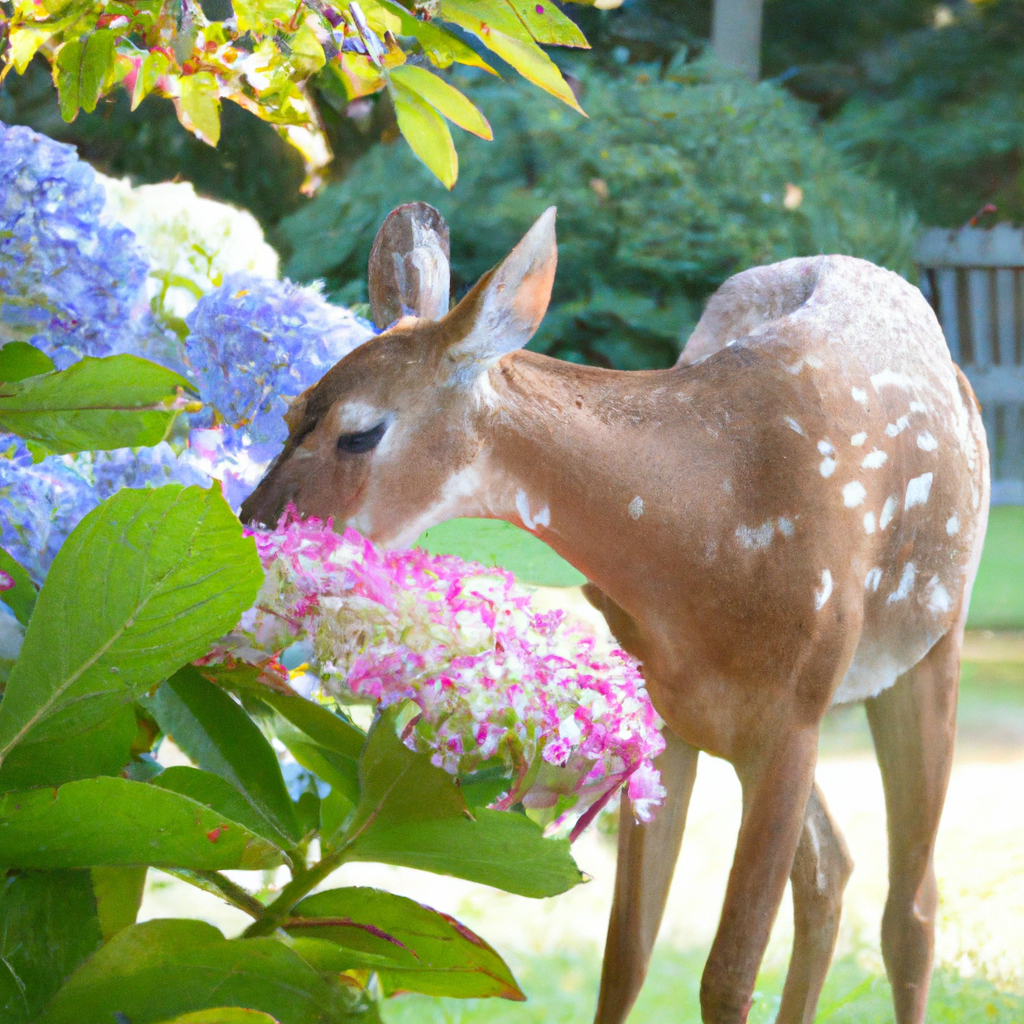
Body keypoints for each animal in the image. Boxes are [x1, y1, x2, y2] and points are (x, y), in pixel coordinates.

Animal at [241, 203, 991, 1019]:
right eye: (289, 409)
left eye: (359, 431)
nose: (249, 533)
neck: (707, 528)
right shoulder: (672, 712)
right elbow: (627, 952)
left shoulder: (794, 713)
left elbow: (728, 973)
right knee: (831, 869)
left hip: (927, 644)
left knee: (911, 910)